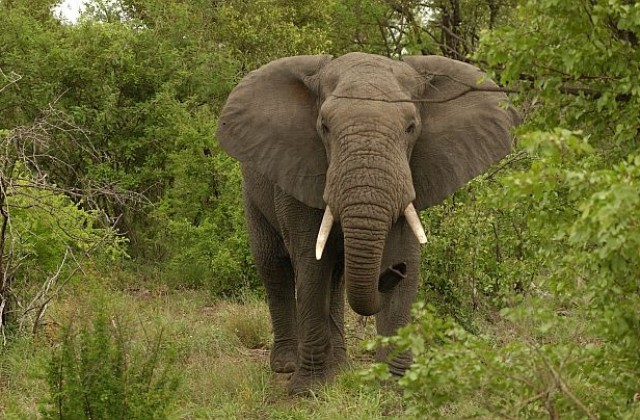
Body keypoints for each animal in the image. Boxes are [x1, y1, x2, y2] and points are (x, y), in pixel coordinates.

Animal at [216, 51, 520, 394]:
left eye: (411, 127)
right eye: (324, 127)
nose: (393, 271)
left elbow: (405, 258)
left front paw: (398, 385)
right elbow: (310, 267)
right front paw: (307, 389)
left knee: (336, 276)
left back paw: (339, 364)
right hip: (252, 191)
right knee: (274, 266)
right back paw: (286, 365)